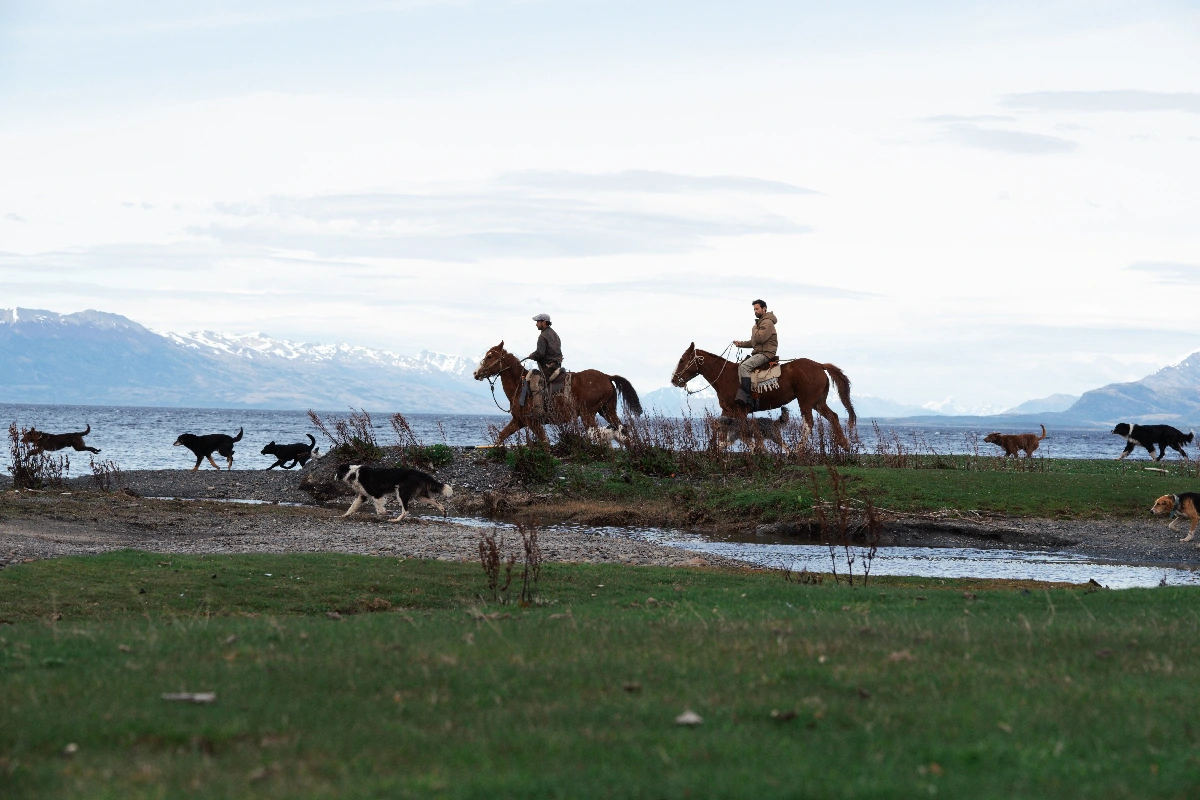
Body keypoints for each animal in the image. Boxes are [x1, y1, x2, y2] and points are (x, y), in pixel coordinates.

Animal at [470, 343, 648, 448]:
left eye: (490, 356)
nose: (475, 373)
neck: (519, 386)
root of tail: (607, 376)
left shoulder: (533, 422)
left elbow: (544, 441)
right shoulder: (518, 421)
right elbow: (501, 437)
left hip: (588, 414)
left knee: (600, 434)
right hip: (607, 410)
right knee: (622, 430)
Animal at [672, 340, 859, 448]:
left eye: (682, 360)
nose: (674, 380)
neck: (726, 376)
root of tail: (820, 365)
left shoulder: (741, 411)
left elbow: (742, 433)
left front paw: (755, 449)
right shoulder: (728, 410)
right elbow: (722, 433)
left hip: (805, 401)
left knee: (808, 423)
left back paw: (799, 451)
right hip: (818, 402)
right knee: (833, 416)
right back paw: (844, 445)